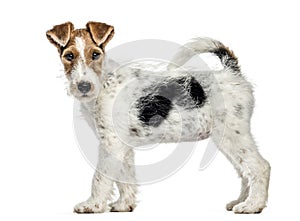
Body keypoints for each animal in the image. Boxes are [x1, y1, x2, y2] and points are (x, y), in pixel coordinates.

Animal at [45, 21, 270, 213]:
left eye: (95, 54)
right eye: (69, 56)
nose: (84, 86)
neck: (105, 81)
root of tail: (232, 72)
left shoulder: (111, 143)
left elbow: (100, 178)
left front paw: (92, 205)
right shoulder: (121, 145)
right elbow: (124, 177)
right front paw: (124, 204)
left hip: (233, 135)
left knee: (260, 167)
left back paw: (252, 206)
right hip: (228, 139)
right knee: (244, 172)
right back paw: (240, 201)